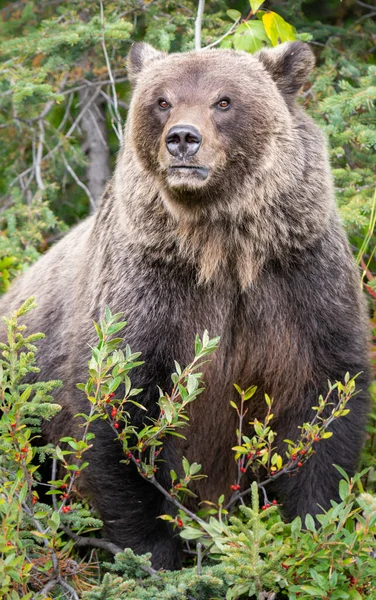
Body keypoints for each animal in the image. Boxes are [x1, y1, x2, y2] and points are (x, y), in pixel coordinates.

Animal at [0, 41, 370, 568]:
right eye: (162, 101)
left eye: (224, 100)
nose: (182, 139)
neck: (222, 251)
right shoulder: (148, 296)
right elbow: (117, 412)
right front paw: (156, 553)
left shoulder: (300, 285)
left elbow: (323, 402)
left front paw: (309, 527)